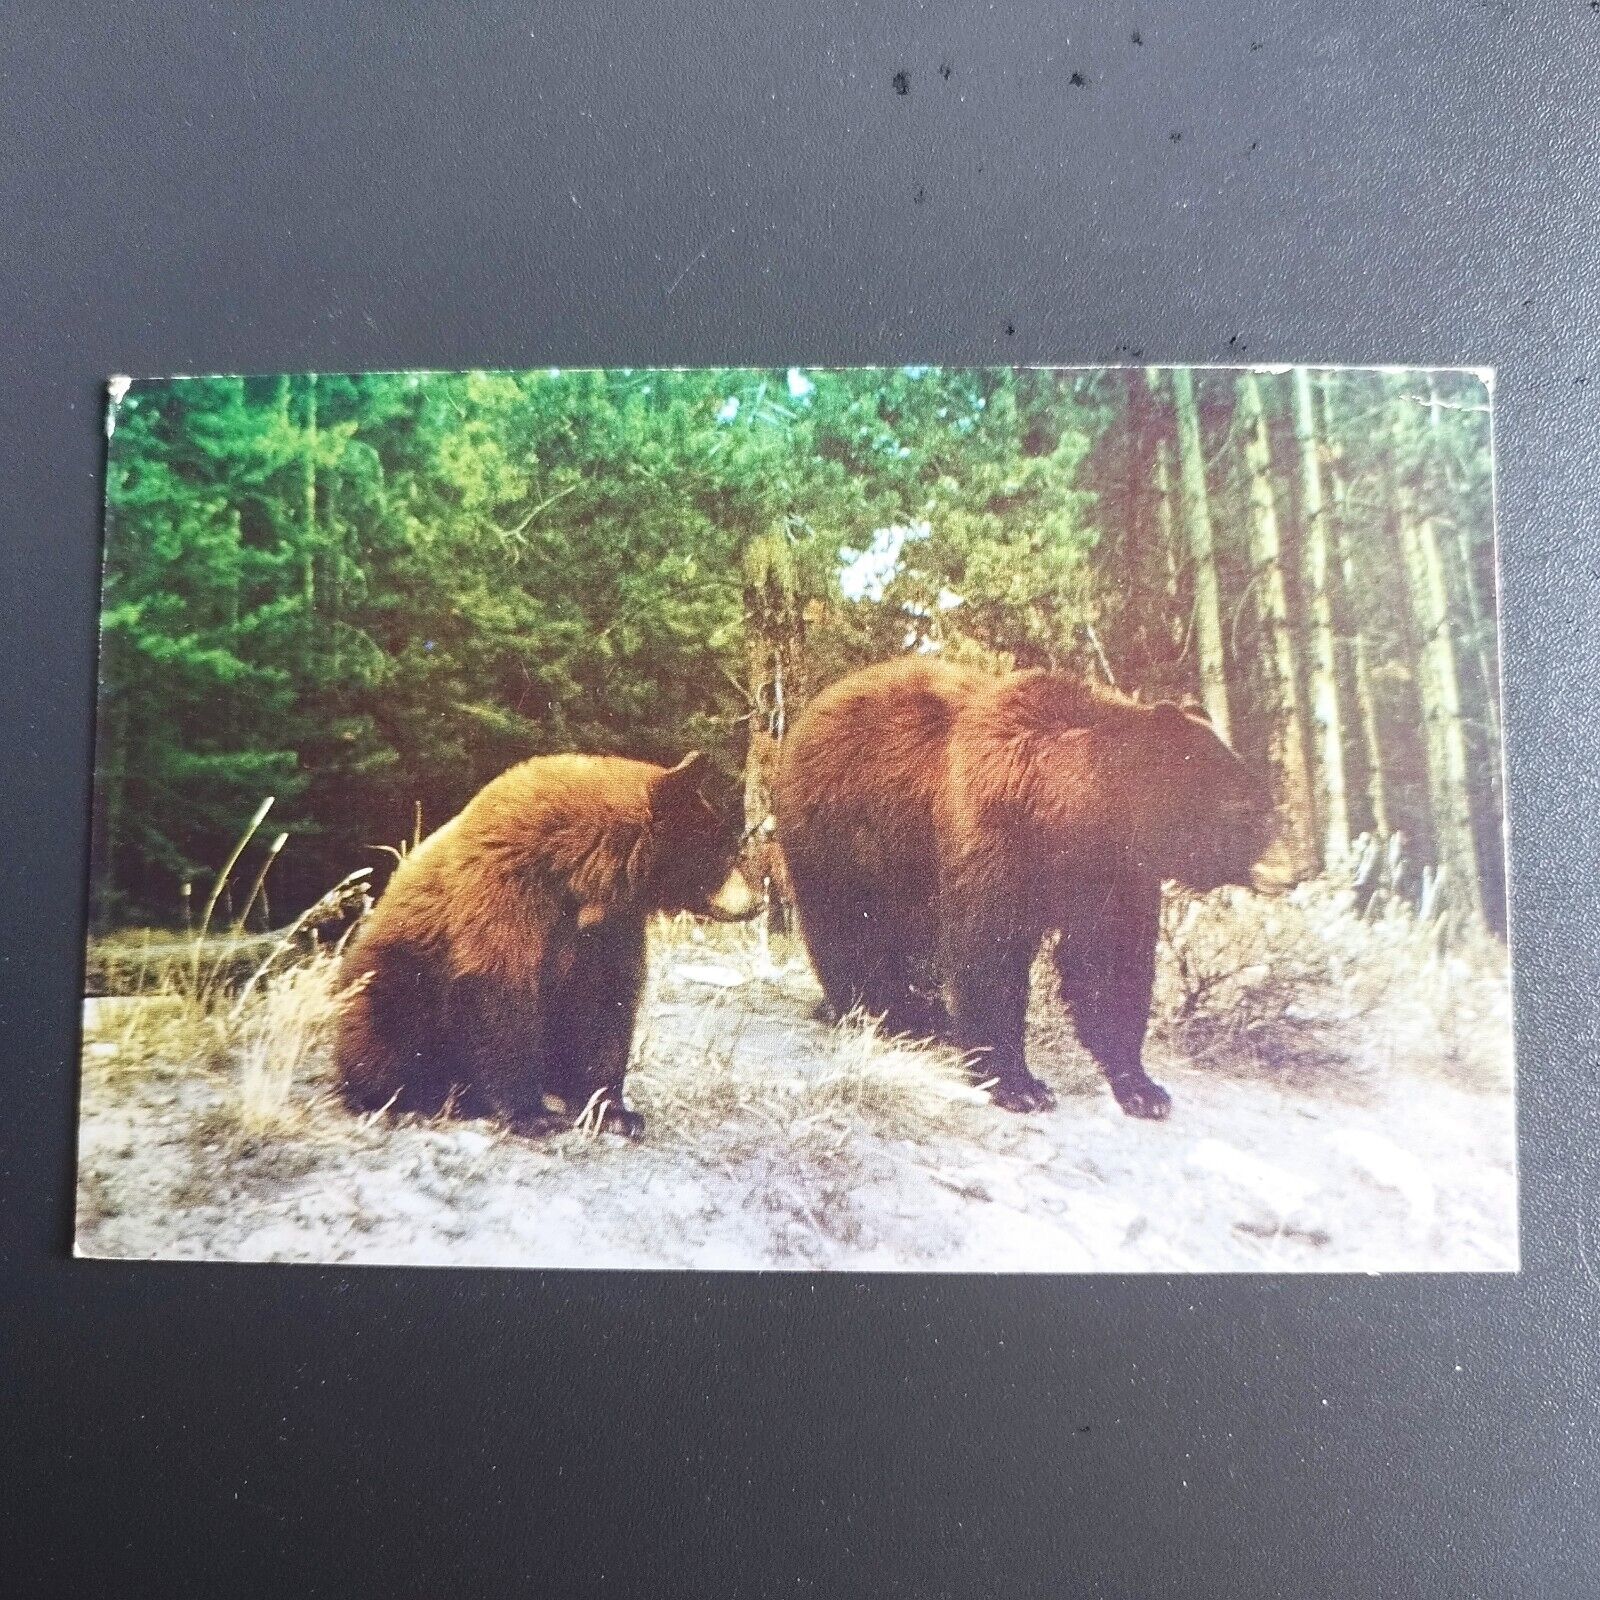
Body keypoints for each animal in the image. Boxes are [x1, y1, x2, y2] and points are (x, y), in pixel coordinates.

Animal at [336, 748, 755, 1139]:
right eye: (725, 849)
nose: (756, 902)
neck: (577, 874)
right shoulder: (504, 891)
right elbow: (502, 994)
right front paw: (532, 1114)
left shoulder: (609, 928)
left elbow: (605, 1003)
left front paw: (614, 1112)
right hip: (391, 981)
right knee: (383, 1033)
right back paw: (410, 1097)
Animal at [768, 656, 1280, 1120]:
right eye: (1247, 808)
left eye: (1259, 798)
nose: (1283, 863)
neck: (1075, 809)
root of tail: (810, 712)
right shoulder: (997, 833)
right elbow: (991, 952)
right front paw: (1020, 1085)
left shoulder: (1112, 874)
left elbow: (1111, 965)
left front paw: (1142, 1088)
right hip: (843, 833)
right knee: (847, 928)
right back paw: (874, 1012)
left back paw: (924, 1015)